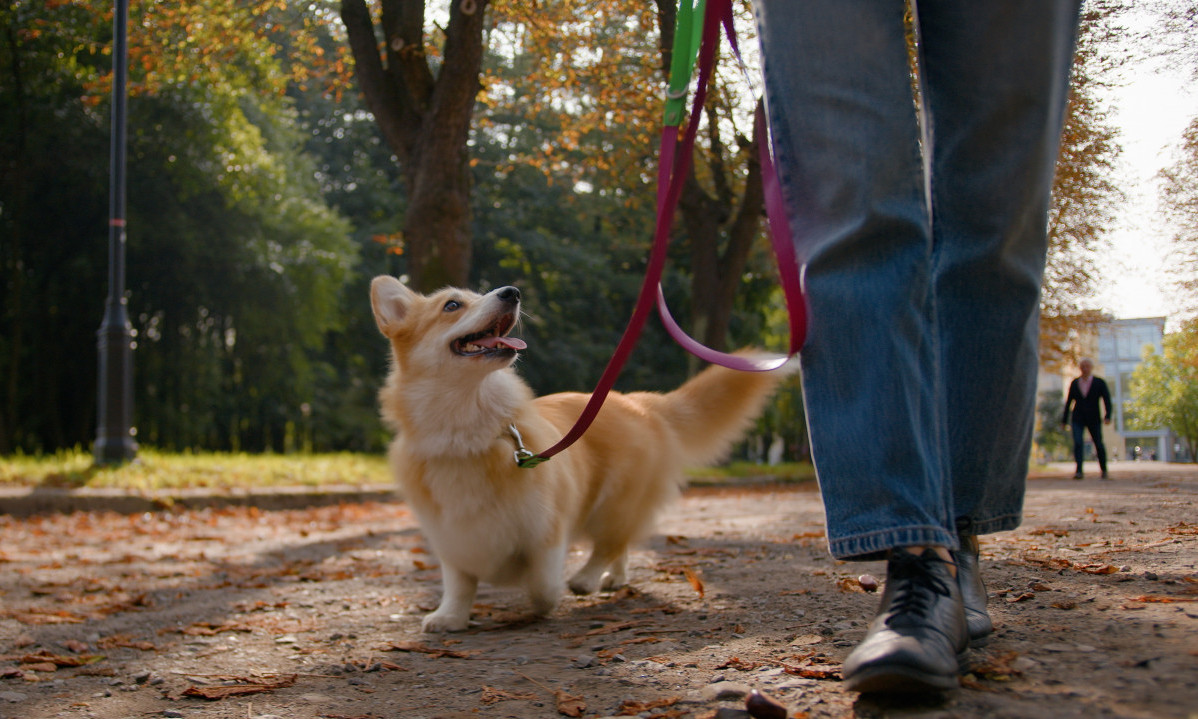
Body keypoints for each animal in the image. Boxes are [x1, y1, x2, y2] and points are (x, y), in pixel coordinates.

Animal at [373, 278, 785, 632]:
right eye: (452, 305)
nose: (512, 292)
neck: (466, 431)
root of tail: (641, 403)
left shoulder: (547, 530)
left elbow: (541, 586)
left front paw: (536, 595)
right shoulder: (452, 537)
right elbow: (459, 583)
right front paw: (450, 617)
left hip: (613, 505)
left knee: (610, 543)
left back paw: (586, 579)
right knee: (620, 548)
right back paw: (614, 579)